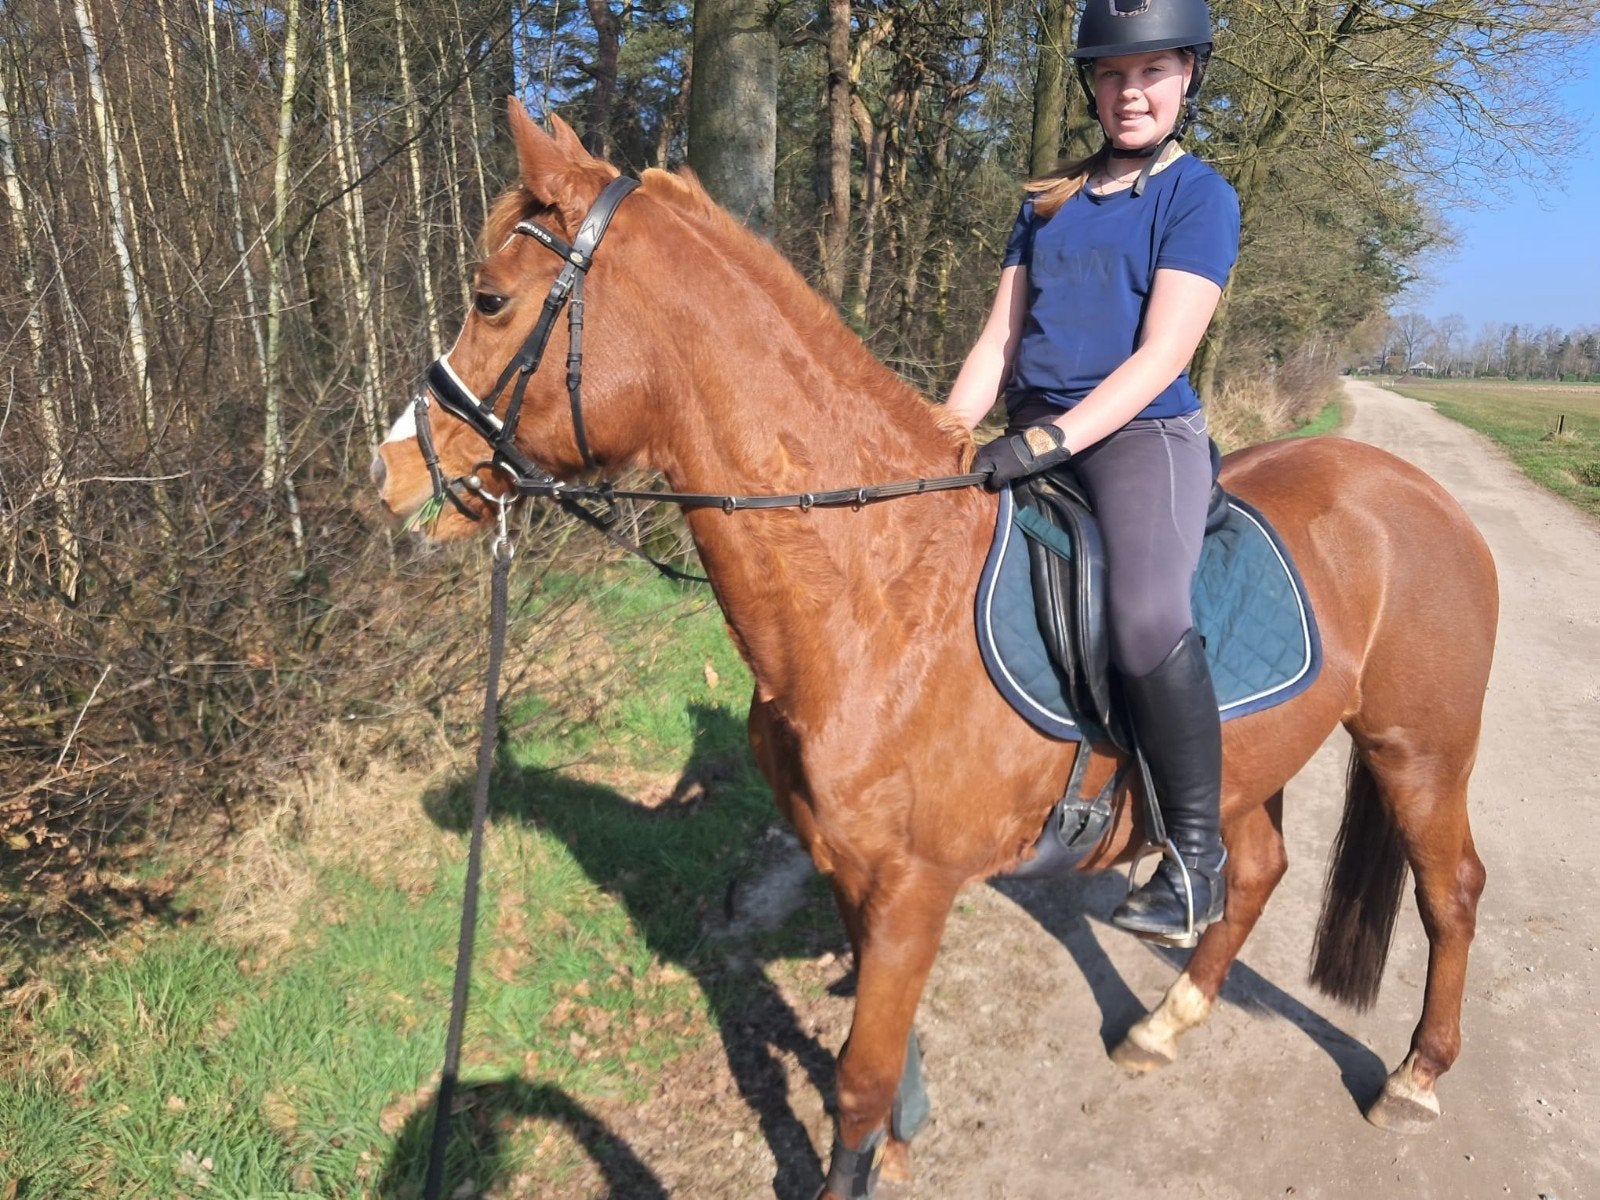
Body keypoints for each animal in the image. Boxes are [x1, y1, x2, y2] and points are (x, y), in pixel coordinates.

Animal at [371, 103, 1497, 1199]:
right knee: (1254, 869)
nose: (393, 473)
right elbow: (880, 1054)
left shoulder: (913, 888)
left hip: (1418, 750)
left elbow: (858, 1082)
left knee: (1451, 892)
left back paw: (1416, 1076)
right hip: (1251, 760)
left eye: (489, 299)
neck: (880, 592)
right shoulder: (849, 870)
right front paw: (901, 1143)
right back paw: (1163, 1023)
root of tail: (1417, 490)